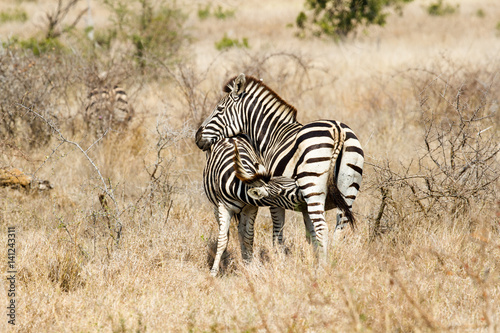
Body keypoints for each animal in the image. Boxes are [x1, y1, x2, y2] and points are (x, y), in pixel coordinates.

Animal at [195, 73, 364, 260]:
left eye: (219, 109)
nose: (197, 137)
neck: (272, 135)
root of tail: (337, 130)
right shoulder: (301, 204)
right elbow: (310, 234)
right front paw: (312, 258)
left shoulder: (274, 198)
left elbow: (278, 233)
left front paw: (279, 258)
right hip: (348, 191)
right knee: (338, 231)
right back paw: (332, 261)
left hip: (313, 189)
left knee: (322, 228)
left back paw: (323, 266)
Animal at [204, 134, 304, 276]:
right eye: (281, 192)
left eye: (291, 181)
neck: (238, 186)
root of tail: (232, 137)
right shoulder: (224, 207)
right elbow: (222, 239)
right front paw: (213, 272)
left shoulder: (251, 207)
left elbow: (249, 237)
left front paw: (249, 265)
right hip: (215, 207)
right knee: (226, 233)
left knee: (241, 232)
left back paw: (244, 259)